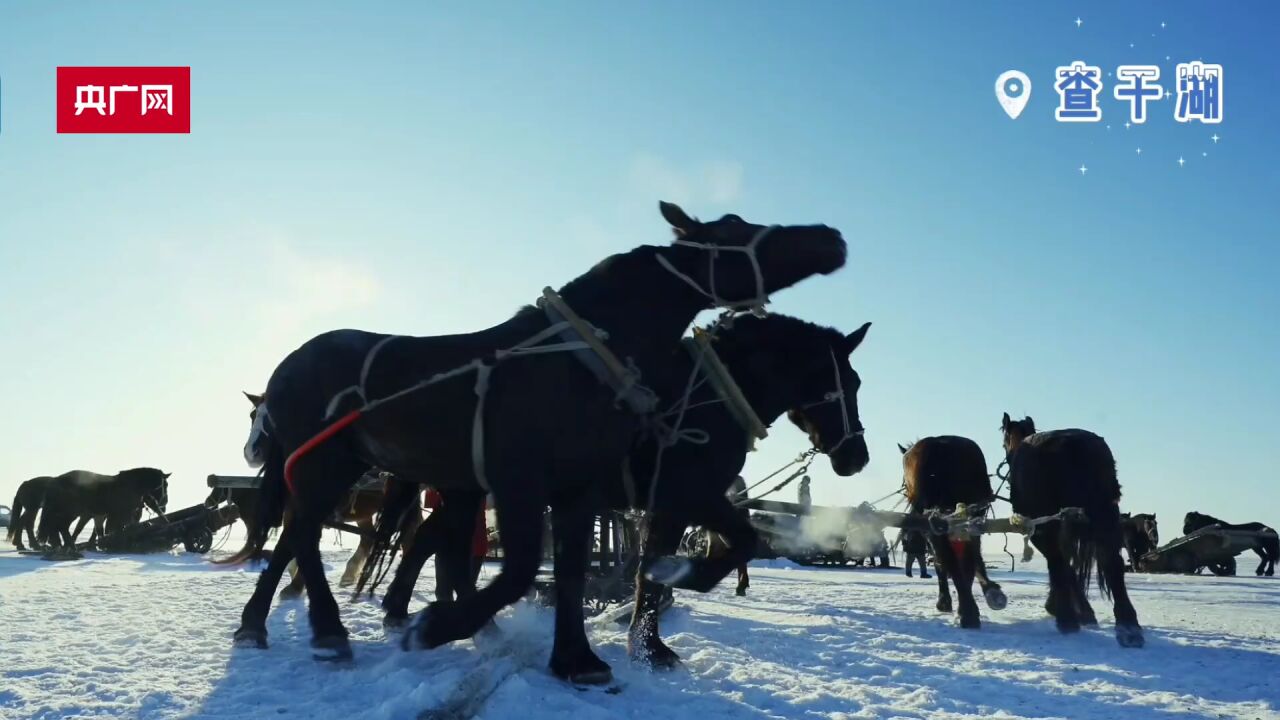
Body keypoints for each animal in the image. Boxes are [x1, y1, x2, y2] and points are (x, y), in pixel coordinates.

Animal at [36, 468, 170, 545]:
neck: (131, 486)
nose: (163, 507)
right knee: (60, 526)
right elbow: (116, 530)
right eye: (165, 485)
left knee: (56, 527)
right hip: (70, 512)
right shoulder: (121, 514)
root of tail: (56, 480)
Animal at [614, 313, 875, 671]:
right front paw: (652, 642)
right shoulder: (685, 497)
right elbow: (739, 544)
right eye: (851, 383)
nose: (858, 458)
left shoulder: (679, 504)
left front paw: (648, 644)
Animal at [896, 430, 1003, 627]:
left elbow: (942, 562)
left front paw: (945, 602)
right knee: (966, 559)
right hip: (968, 518)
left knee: (948, 559)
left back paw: (966, 611)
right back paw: (970, 608)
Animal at [998, 412, 1141, 648]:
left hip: (1050, 525)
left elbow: (1062, 566)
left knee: (1058, 561)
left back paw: (1067, 619)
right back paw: (1128, 626)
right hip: (1105, 514)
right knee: (1112, 563)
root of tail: (1073, 446)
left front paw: (1064, 608)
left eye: (1003, 443)